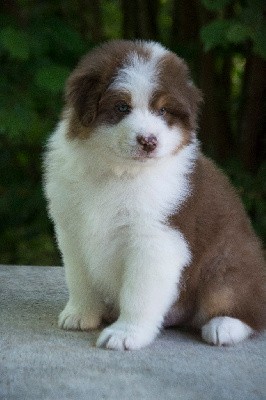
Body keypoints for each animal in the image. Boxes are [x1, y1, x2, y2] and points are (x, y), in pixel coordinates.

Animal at [44, 39, 266, 348]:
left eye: (162, 111)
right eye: (122, 107)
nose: (149, 141)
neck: (118, 171)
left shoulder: (156, 240)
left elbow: (139, 293)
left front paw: (126, 333)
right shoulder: (71, 230)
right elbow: (79, 278)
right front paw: (81, 314)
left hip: (229, 263)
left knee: (246, 305)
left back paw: (225, 325)